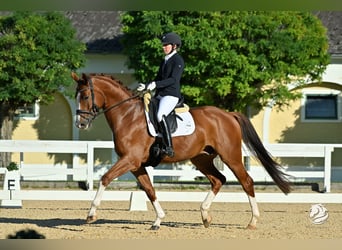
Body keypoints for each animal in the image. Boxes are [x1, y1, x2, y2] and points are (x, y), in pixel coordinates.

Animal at [73, 72, 292, 230]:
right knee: (218, 179)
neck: (128, 116)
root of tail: (228, 114)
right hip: (201, 159)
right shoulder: (136, 165)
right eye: (76, 96)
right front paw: (158, 220)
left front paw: (91, 214)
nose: (80, 124)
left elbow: (105, 178)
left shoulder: (130, 160)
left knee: (246, 181)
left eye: (85, 96)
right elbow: (149, 189)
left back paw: (252, 221)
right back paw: (205, 216)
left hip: (231, 156)